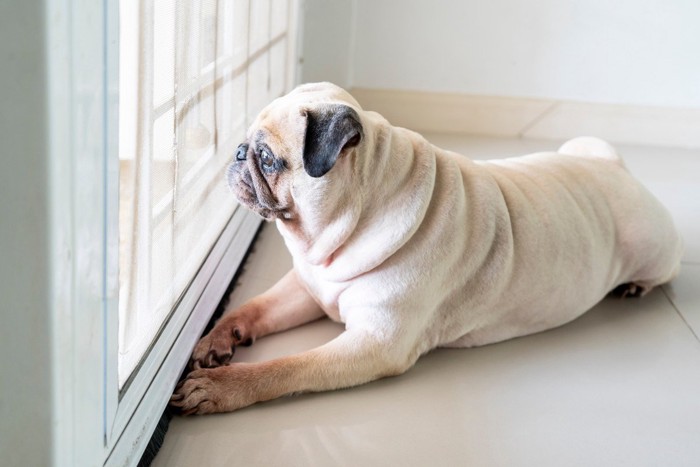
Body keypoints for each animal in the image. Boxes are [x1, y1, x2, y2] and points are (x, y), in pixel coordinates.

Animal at [170, 82, 684, 414]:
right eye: (247, 147)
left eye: (269, 159)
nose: (238, 153)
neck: (350, 220)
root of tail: (613, 167)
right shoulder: (308, 287)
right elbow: (251, 308)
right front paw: (216, 339)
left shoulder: (375, 344)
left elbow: (286, 368)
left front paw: (221, 388)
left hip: (655, 247)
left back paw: (636, 286)